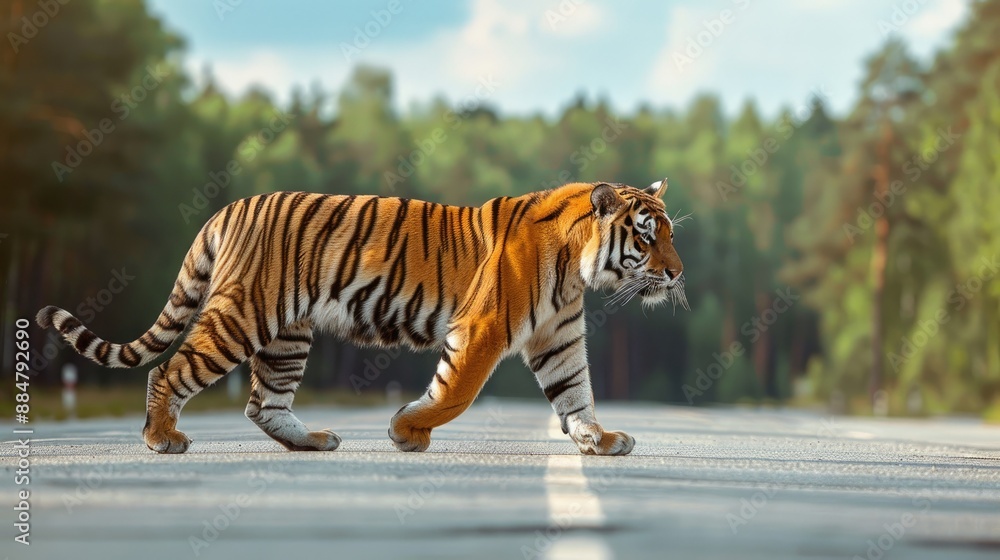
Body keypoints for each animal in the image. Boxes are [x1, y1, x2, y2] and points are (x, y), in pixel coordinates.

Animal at [36, 179, 686, 455]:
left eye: (671, 235)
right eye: (646, 237)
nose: (678, 273)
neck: (577, 267)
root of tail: (229, 207)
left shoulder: (558, 338)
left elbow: (576, 393)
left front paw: (600, 439)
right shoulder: (482, 329)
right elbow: (455, 392)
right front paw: (406, 431)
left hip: (286, 334)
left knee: (263, 403)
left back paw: (313, 441)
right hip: (241, 315)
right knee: (168, 371)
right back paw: (162, 439)